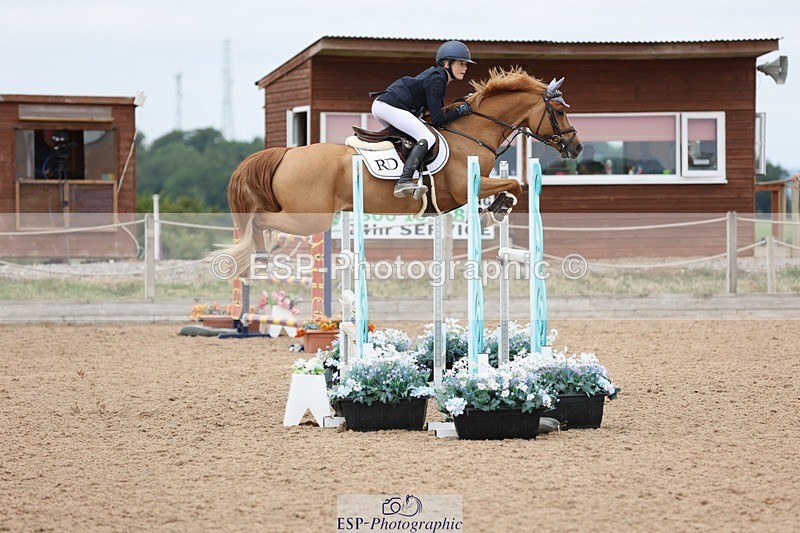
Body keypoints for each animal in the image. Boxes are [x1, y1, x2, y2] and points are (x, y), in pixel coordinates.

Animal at [222, 67, 582, 275]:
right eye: (559, 111)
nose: (576, 147)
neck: (473, 131)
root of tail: (286, 154)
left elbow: (510, 183)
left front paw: (496, 207)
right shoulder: (466, 188)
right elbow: (515, 184)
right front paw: (500, 207)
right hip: (310, 217)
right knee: (260, 220)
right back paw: (264, 252)